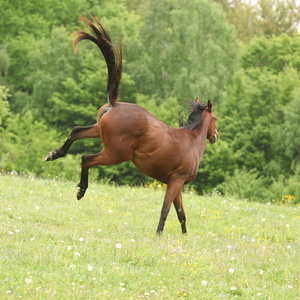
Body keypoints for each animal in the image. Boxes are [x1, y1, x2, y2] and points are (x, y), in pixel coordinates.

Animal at [44, 16, 218, 236]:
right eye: (215, 119)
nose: (215, 135)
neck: (192, 141)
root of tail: (114, 104)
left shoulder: (175, 183)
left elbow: (181, 213)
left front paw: (184, 237)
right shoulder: (176, 181)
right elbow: (166, 209)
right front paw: (158, 234)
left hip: (97, 131)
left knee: (76, 132)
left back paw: (54, 154)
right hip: (114, 154)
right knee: (86, 159)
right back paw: (81, 190)